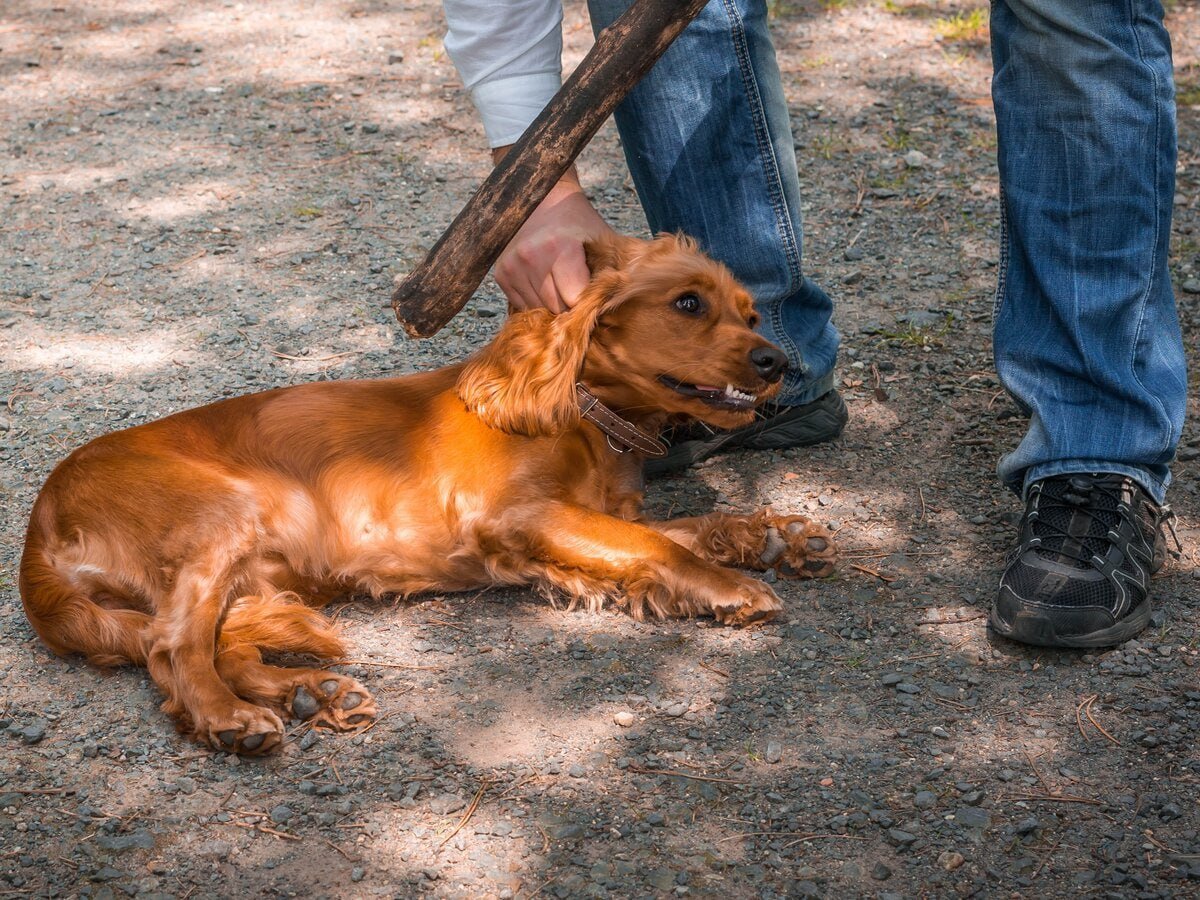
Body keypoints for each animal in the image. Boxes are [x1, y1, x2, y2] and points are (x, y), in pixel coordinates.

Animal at [23, 232, 840, 753]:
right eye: (689, 304)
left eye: (752, 313)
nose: (775, 362)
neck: (587, 417)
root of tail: (41, 527)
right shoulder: (519, 515)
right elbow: (654, 545)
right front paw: (735, 587)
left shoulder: (583, 518)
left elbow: (682, 527)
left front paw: (775, 536)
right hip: (223, 517)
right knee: (174, 645)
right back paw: (232, 717)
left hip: (255, 575)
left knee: (218, 643)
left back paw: (311, 692)